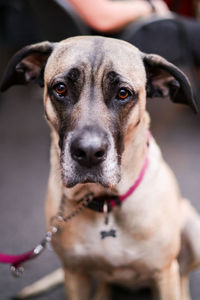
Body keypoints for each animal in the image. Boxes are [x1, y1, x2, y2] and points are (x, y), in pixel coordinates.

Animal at [1, 36, 200, 298]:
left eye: (123, 93)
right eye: (61, 88)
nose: (88, 153)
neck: (106, 203)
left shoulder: (164, 273)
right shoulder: (74, 274)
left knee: (183, 274)